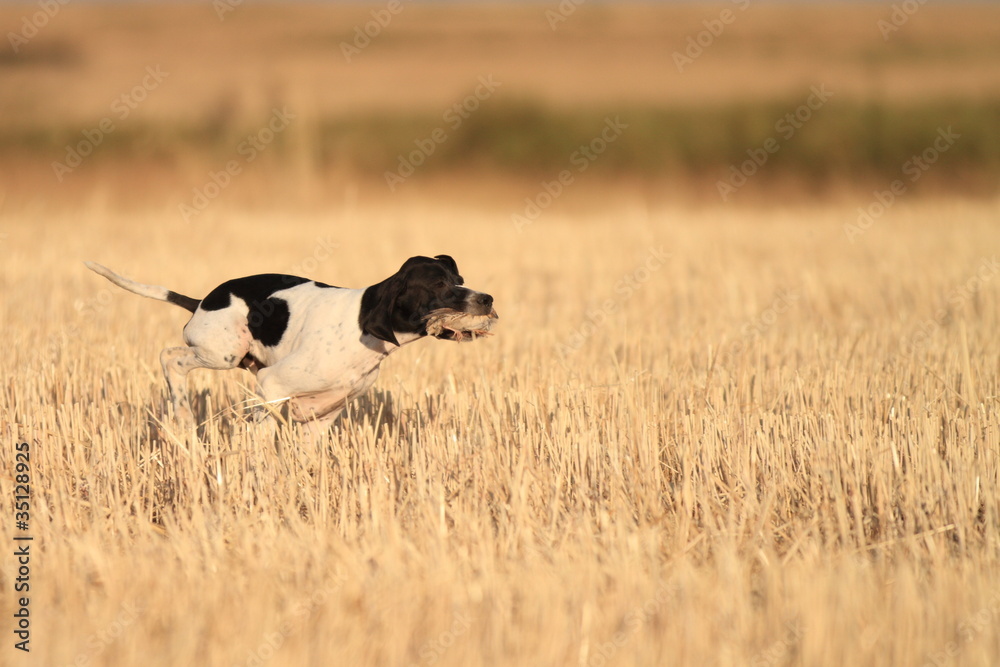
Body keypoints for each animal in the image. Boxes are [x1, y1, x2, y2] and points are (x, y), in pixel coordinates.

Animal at [84, 256, 498, 428]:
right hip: (221, 352)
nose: (487, 299)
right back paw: (183, 418)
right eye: (440, 285)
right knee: (170, 357)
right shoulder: (272, 386)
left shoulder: (320, 415)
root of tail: (202, 300)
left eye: (460, 278)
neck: (363, 329)